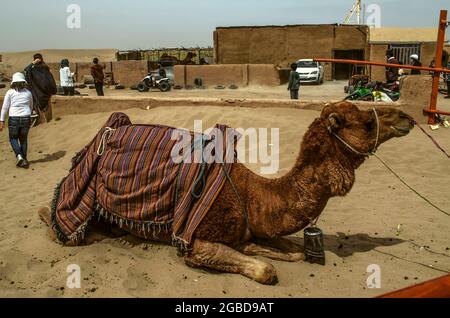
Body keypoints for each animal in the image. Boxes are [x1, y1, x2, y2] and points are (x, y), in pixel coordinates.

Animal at [38, 101, 414, 284]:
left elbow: (291, 252)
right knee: (54, 218)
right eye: (366, 122)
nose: (407, 117)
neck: (253, 194)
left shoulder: (252, 226)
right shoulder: (195, 242)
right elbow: (266, 270)